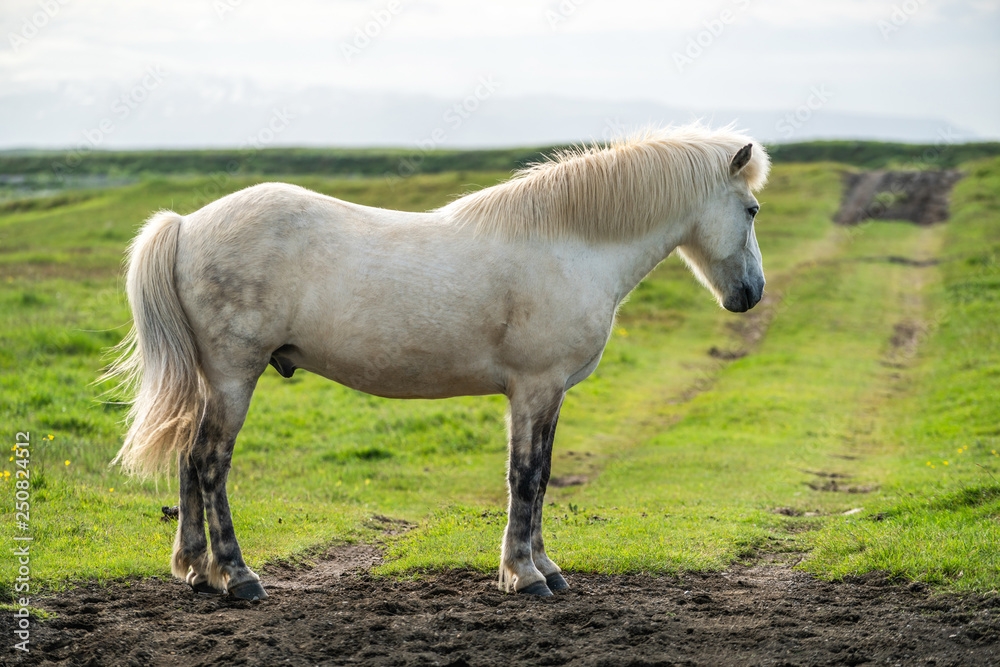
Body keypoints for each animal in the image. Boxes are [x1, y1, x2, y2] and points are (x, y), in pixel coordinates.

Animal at [105, 124, 768, 600]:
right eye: (752, 210)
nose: (752, 293)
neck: (569, 245)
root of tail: (187, 224)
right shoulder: (534, 388)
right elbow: (526, 477)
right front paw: (524, 575)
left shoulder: (548, 393)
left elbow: (542, 475)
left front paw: (545, 567)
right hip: (234, 376)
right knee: (210, 463)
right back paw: (238, 577)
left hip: (212, 381)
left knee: (189, 462)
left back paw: (196, 571)